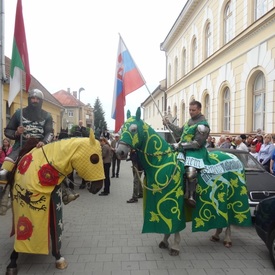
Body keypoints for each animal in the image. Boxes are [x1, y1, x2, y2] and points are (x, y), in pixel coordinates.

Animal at [2, 132, 105, 275]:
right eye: (94, 159)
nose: (98, 187)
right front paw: (12, 260)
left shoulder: (53, 203)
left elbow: (53, 228)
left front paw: (58, 257)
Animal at [115, 108, 253, 256]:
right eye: (122, 128)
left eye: (134, 129)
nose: (120, 152)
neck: (162, 162)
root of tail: (236, 158)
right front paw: (165, 240)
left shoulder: (172, 201)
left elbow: (174, 224)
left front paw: (175, 246)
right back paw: (216, 234)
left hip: (233, 197)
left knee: (229, 218)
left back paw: (227, 239)